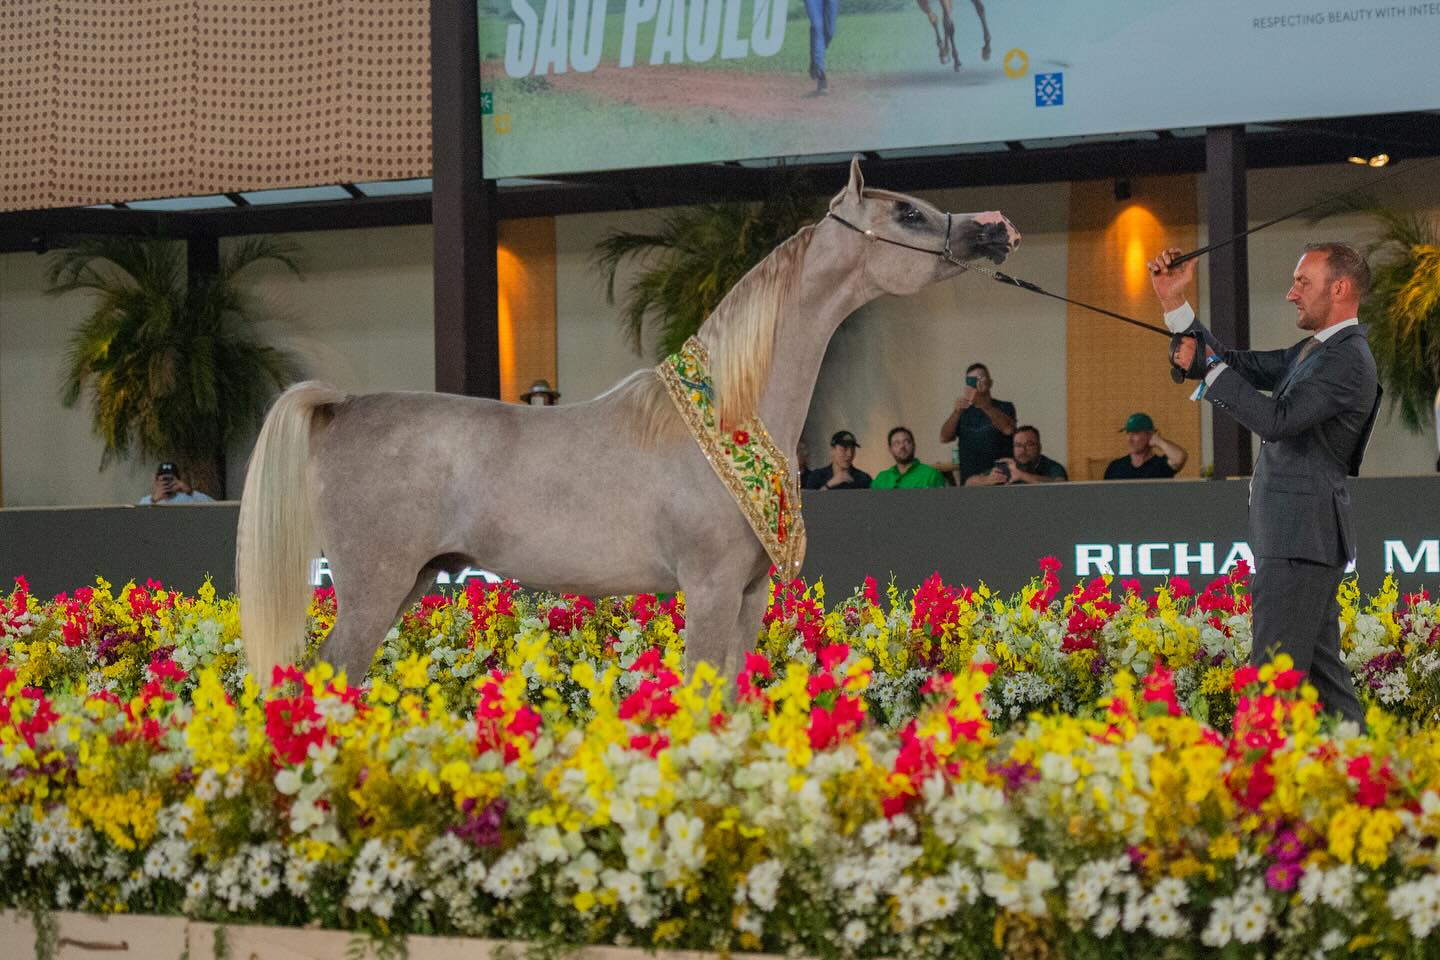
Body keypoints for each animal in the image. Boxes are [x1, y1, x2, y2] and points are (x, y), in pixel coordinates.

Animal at [236, 156, 1020, 684]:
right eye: (908, 213)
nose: (994, 233)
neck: (727, 418)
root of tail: (341, 408)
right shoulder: (708, 589)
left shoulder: (747, 596)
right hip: (374, 587)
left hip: (408, 582)